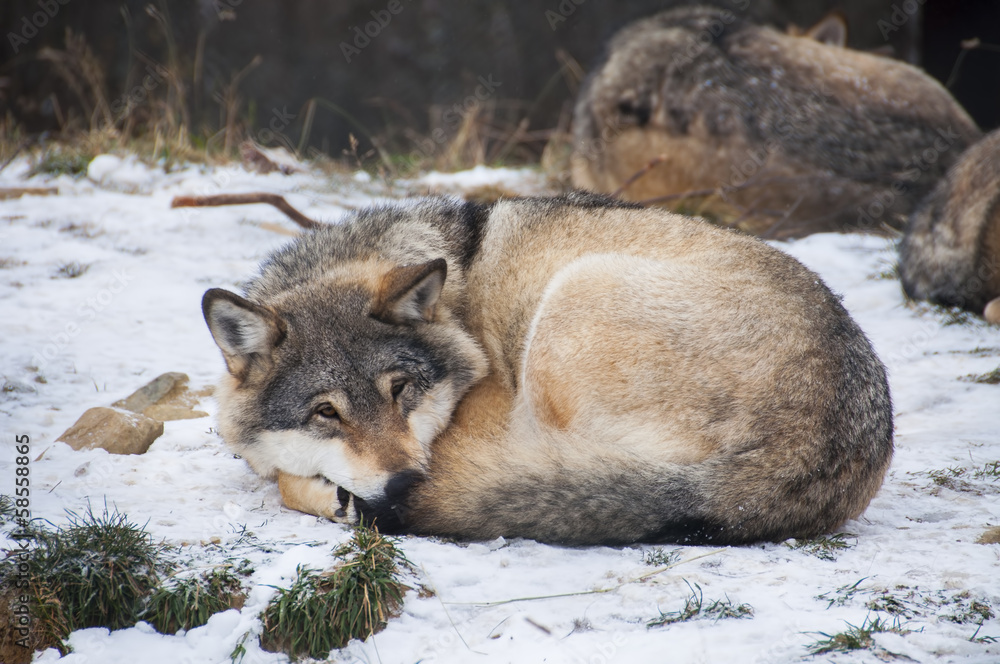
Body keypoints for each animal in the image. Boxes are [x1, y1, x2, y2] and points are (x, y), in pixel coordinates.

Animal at [202, 193, 893, 546]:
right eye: (327, 412)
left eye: (401, 392)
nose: (403, 485)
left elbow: (285, 480)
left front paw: (334, 496)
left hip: (571, 304)